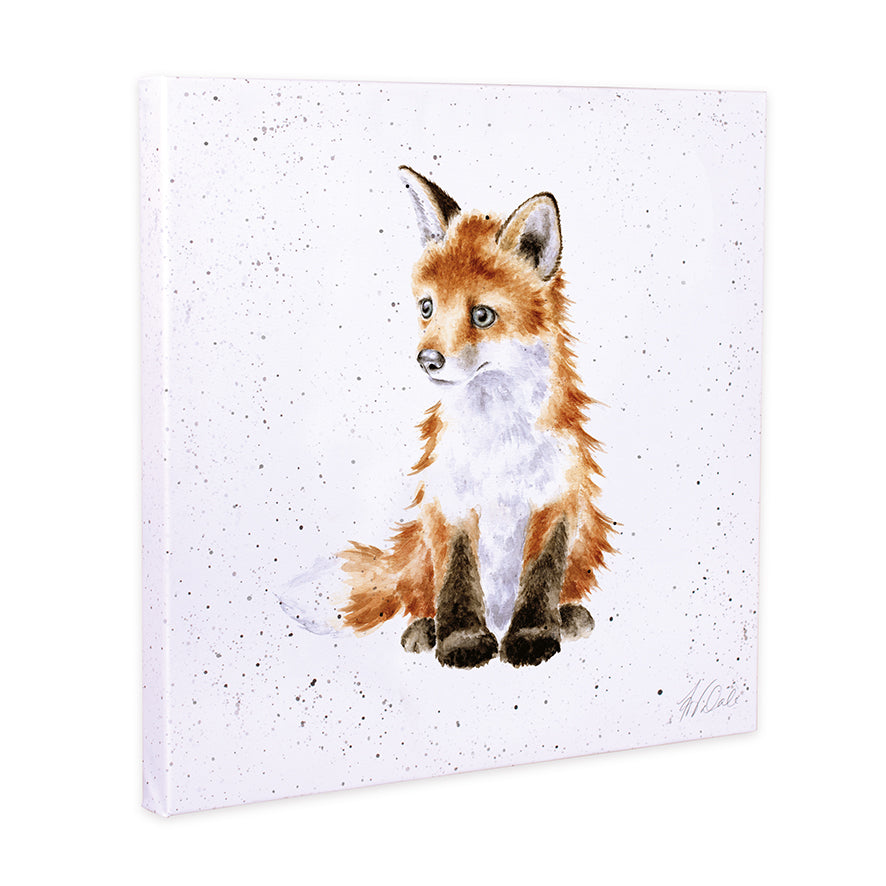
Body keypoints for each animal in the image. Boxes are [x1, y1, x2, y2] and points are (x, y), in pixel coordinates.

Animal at [280, 167, 616, 668]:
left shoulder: (557, 500)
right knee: (417, 594)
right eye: (427, 307)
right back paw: (424, 629)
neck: (498, 442)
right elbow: (456, 580)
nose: (427, 360)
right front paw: (461, 640)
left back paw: (571, 618)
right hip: (419, 547)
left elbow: (540, 578)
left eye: (482, 315)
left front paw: (534, 635)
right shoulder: (448, 502)